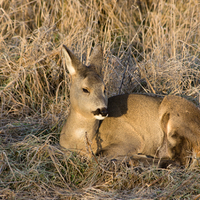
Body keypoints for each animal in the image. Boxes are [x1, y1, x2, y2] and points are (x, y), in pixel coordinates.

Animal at [59, 44, 200, 166]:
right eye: (85, 89)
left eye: (104, 88)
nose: (103, 110)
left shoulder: (131, 138)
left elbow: (101, 154)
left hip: (175, 116)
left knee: (180, 161)